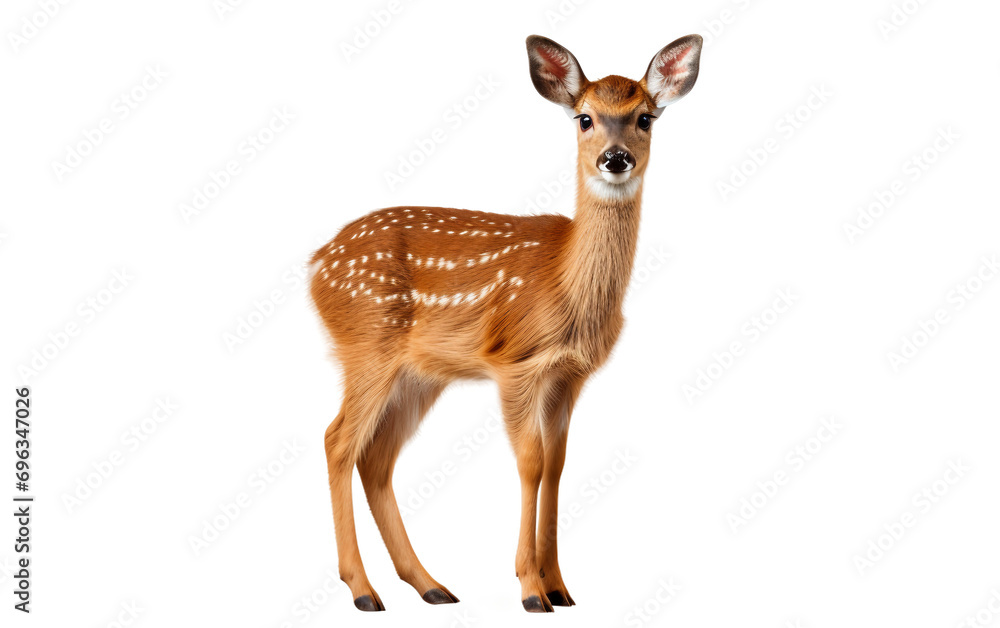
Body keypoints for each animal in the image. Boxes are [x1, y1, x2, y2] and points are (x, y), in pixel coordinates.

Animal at [309, 33, 702, 613]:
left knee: (376, 457)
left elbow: (558, 464)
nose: (615, 158)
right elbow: (531, 462)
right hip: (367, 345)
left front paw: (560, 585)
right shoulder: (514, 363)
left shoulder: (568, 375)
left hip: (418, 374)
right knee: (338, 441)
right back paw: (363, 590)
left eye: (645, 118)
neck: (566, 285)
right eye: (584, 118)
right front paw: (531, 589)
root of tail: (315, 264)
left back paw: (430, 585)